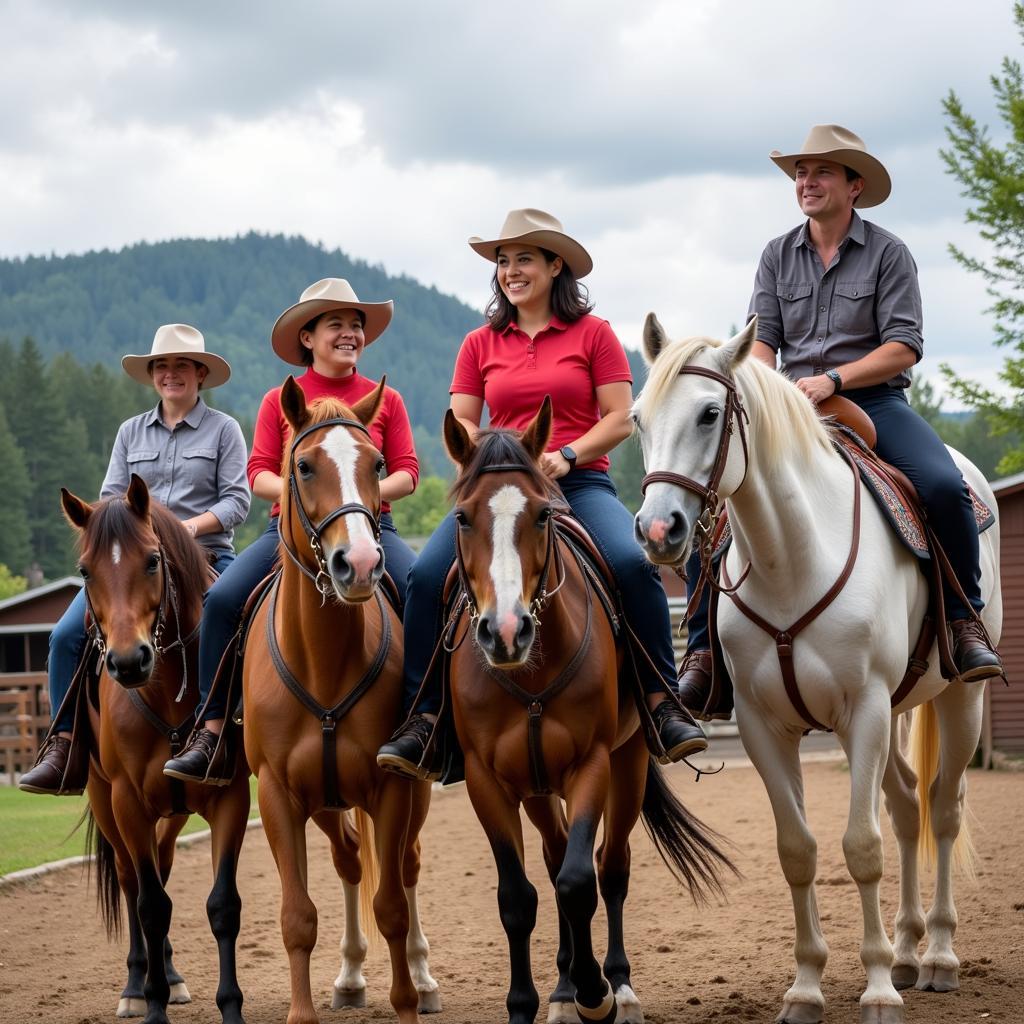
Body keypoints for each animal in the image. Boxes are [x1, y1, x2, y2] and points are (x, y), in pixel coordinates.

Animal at [59, 477, 251, 1024]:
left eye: (151, 561)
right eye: (85, 570)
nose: (128, 662)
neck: (167, 689)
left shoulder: (230, 797)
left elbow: (221, 905)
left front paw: (229, 1007)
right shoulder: (128, 804)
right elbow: (147, 905)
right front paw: (152, 1006)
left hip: (172, 813)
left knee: (161, 873)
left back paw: (168, 973)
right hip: (107, 802)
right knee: (133, 884)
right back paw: (136, 984)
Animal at [241, 378, 438, 1024]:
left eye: (376, 464)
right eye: (303, 466)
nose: (360, 564)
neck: (324, 662)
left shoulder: (391, 788)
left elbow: (392, 908)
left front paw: (408, 1001)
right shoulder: (277, 795)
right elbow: (298, 916)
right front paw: (303, 1012)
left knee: (406, 865)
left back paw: (423, 977)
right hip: (326, 803)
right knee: (351, 857)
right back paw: (350, 976)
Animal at [444, 399, 733, 1024]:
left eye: (541, 517)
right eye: (462, 518)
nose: (506, 632)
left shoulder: (592, 764)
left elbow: (581, 881)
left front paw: (596, 992)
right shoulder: (487, 779)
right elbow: (519, 896)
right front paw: (528, 1001)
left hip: (629, 763)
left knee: (610, 866)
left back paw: (615, 984)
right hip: (535, 787)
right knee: (553, 863)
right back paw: (562, 987)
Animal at [630, 315, 999, 1019]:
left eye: (710, 413)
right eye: (638, 418)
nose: (659, 530)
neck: (792, 560)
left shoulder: (866, 711)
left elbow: (862, 846)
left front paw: (878, 990)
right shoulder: (763, 726)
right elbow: (798, 851)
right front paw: (806, 988)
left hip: (958, 700)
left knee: (943, 808)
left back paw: (937, 956)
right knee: (907, 805)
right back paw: (907, 950)